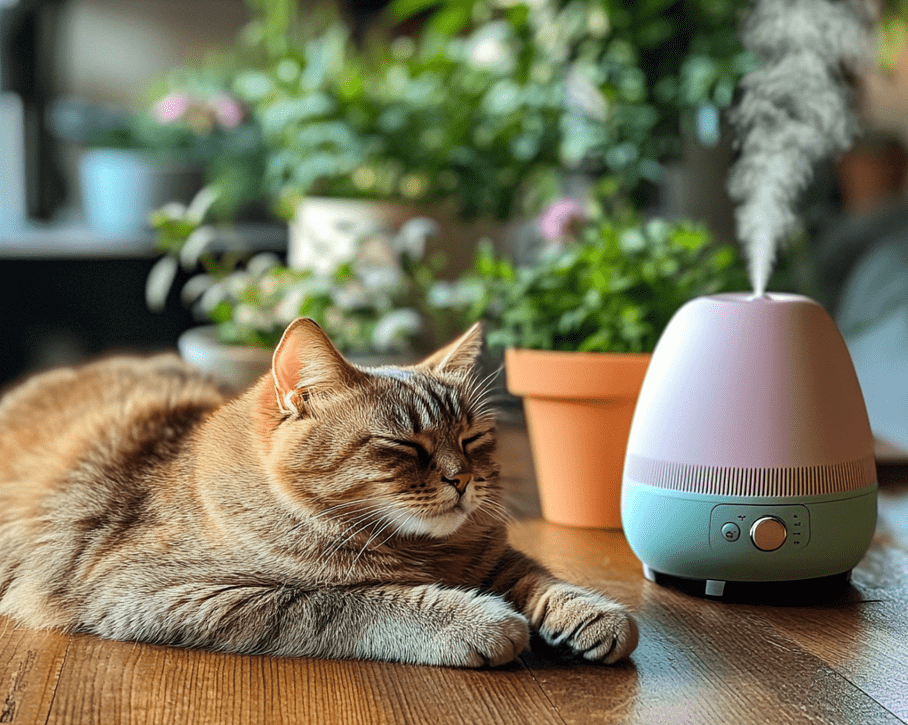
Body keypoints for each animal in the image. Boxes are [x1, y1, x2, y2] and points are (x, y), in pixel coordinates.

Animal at [0, 318, 640, 668]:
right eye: (404, 445)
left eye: (473, 438)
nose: (463, 479)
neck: (422, 551)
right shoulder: (161, 593)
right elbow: (352, 602)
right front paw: (476, 619)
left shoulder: (492, 554)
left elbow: (539, 576)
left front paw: (590, 612)